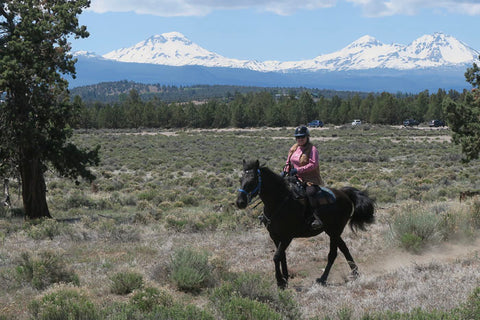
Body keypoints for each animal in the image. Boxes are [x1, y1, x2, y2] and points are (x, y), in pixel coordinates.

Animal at [236, 160, 376, 288]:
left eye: (253, 181)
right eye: (240, 179)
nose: (240, 202)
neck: (279, 202)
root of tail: (344, 193)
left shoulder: (287, 237)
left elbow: (276, 257)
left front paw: (280, 281)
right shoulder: (275, 236)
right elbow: (282, 256)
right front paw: (285, 278)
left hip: (334, 231)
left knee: (333, 254)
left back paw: (323, 279)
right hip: (333, 231)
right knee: (344, 248)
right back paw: (355, 273)